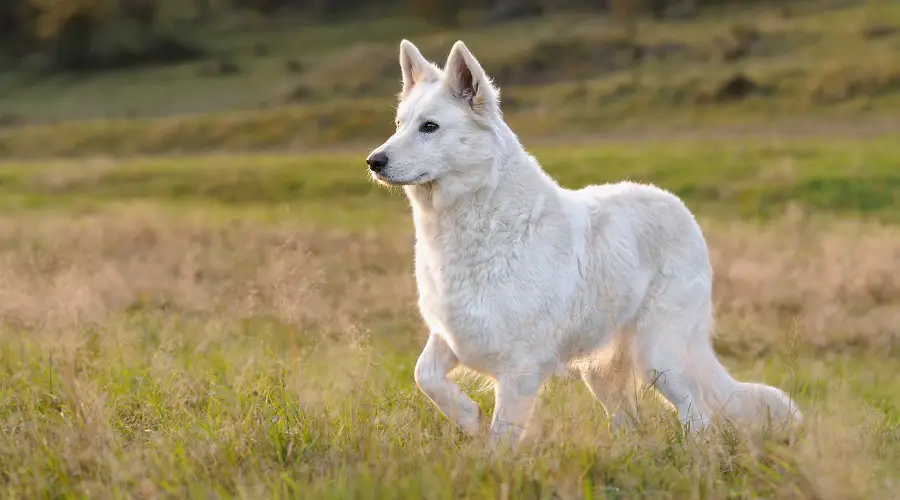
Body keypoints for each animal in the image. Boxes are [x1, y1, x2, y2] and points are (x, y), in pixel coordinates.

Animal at [364, 40, 800, 450]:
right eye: (399, 124)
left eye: (430, 127)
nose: (373, 161)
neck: (476, 219)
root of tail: (677, 207)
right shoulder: (451, 334)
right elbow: (424, 376)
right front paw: (468, 417)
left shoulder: (520, 370)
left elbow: (501, 439)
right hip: (603, 372)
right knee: (631, 424)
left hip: (660, 357)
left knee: (699, 419)